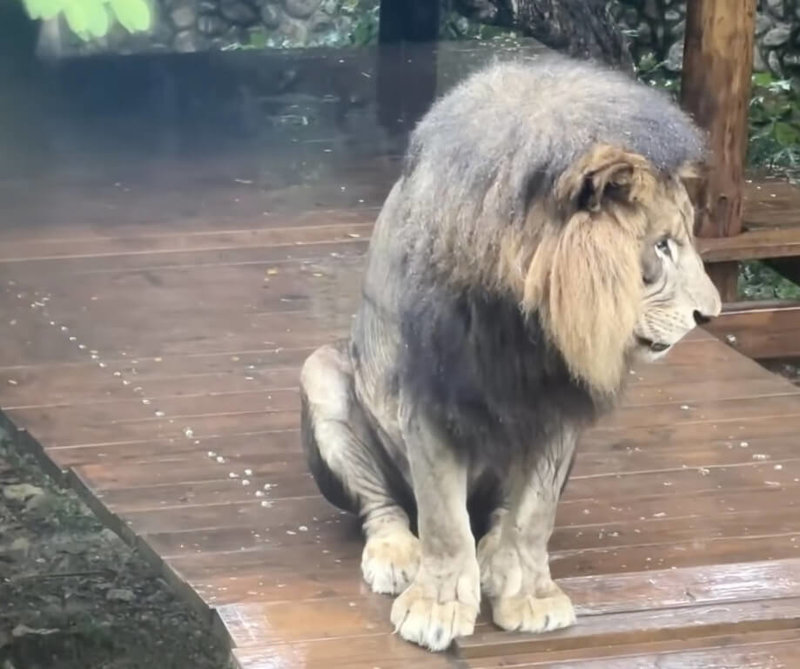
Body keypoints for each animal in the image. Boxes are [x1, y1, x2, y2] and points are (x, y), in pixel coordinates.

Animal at [296, 54, 720, 648]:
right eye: (661, 246)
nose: (712, 314)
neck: (523, 317)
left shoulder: (561, 401)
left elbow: (532, 517)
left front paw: (532, 597)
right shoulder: (430, 396)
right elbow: (444, 524)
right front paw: (435, 608)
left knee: (497, 514)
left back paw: (495, 558)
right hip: (323, 374)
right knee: (385, 506)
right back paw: (396, 555)